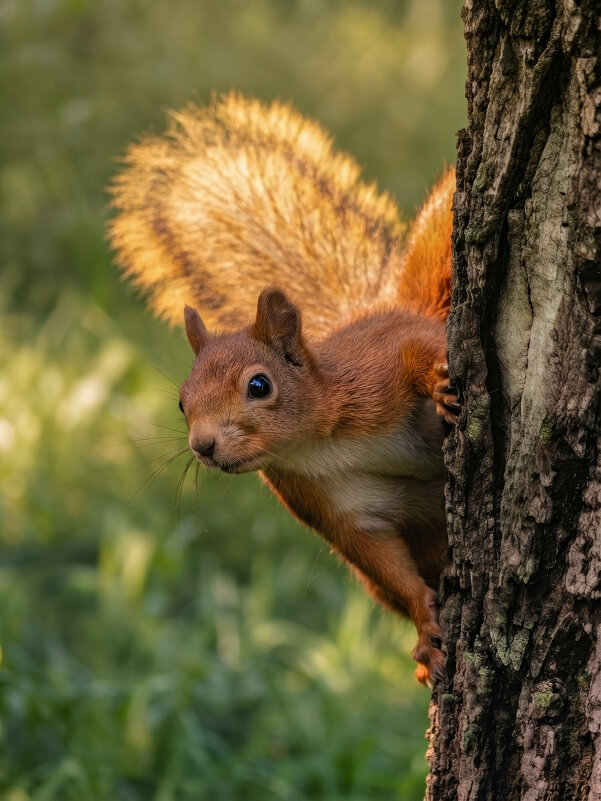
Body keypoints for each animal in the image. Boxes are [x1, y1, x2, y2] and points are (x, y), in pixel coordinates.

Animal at [109, 93, 457, 686]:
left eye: (259, 384)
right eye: (180, 401)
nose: (203, 446)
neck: (320, 442)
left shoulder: (375, 367)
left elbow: (416, 348)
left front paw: (439, 376)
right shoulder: (328, 504)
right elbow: (382, 559)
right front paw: (426, 630)